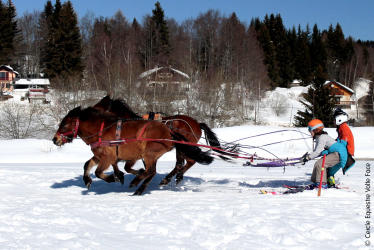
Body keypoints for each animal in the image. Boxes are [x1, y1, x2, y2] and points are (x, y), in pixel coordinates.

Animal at [51, 106, 213, 194]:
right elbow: (87, 165)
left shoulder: (108, 157)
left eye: (64, 125)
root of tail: (169, 131)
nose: (55, 139)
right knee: (161, 169)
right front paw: (87, 180)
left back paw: (140, 184)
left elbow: (99, 172)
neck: (103, 130)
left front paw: (114, 177)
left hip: (152, 153)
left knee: (157, 169)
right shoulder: (101, 156)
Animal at [93, 94, 234, 185]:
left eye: (99, 106)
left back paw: (172, 178)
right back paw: (175, 177)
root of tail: (197, 123)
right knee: (182, 163)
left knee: (186, 162)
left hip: (184, 146)